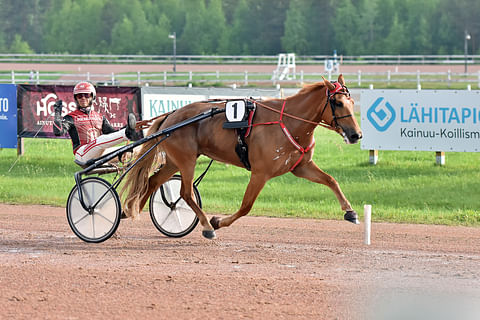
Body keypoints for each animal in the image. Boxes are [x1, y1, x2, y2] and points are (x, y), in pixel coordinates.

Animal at [122, 75, 362, 239]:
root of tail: (170, 116)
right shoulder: (260, 173)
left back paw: (131, 210)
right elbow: (246, 206)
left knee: (153, 181)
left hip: (174, 161)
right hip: (186, 160)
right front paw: (216, 221)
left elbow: (331, 180)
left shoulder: (301, 166)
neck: (289, 122)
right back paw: (206, 227)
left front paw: (350, 212)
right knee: (186, 193)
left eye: (351, 102)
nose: (356, 135)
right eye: (338, 103)